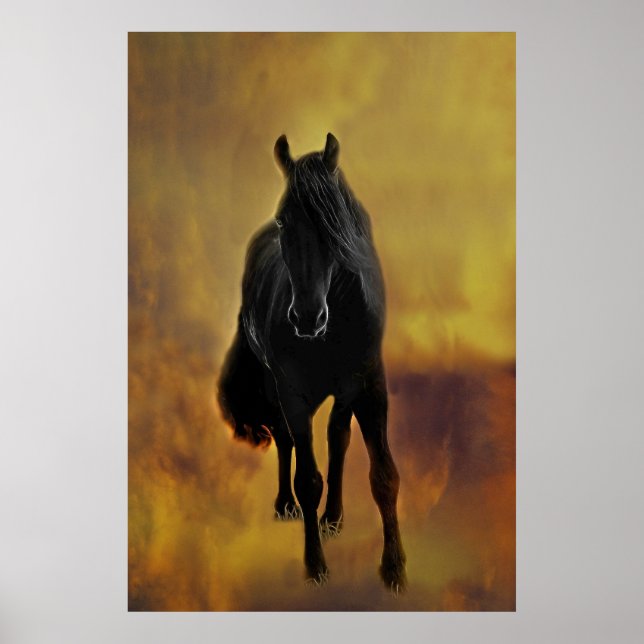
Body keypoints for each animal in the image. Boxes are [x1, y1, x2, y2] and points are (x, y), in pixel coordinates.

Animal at [217, 133, 406, 591]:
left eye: (332, 223)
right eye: (284, 221)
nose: (306, 317)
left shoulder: (368, 386)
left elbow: (383, 474)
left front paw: (394, 567)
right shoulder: (292, 393)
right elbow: (307, 478)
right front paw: (315, 564)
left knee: (338, 439)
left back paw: (333, 518)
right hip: (275, 389)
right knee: (285, 441)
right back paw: (285, 505)